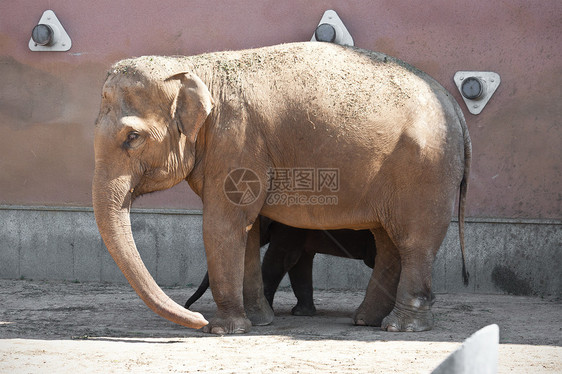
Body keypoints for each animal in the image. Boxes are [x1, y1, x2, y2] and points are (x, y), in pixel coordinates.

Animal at [184, 216, 376, 316]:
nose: (187, 306)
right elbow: (299, 263)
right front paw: (301, 313)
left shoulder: (290, 227)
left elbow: (281, 259)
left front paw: (267, 310)